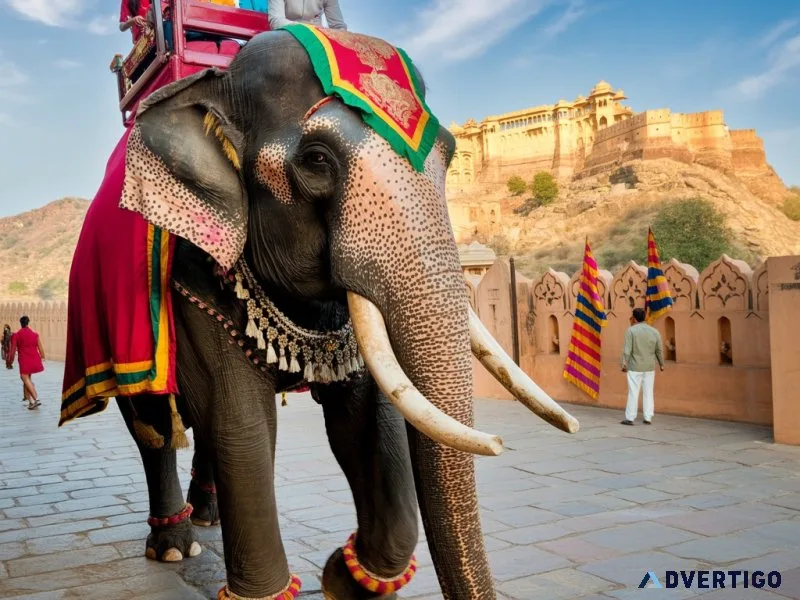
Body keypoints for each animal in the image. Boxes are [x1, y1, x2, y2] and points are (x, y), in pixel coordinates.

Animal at [61, 26, 579, 600]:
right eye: (316, 159)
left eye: (449, 154)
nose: (502, 442)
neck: (217, 82)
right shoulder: (191, 274)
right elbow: (241, 421)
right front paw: (276, 589)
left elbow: (366, 421)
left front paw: (345, 579)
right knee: (153, 425)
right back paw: (176, 545)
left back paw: (208, 517)